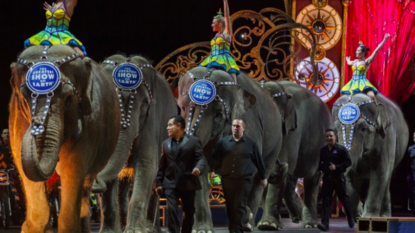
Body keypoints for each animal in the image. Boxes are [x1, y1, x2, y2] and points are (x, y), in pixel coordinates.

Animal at [8, 44, 120, 232]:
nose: (37, 122)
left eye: (68, 98)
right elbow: (27, 175)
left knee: (84, 189)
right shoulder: (16, 120)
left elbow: (73, 169)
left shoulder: (90, 123)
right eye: (24, 97)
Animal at [92, 54, 178, 233]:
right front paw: (109, 231)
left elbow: (147, 165)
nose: (95, 182)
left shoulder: (152, 121)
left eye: (144, 103)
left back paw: (149, 228)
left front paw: (135, 231)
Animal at [177, 66, 284, 232]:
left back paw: (248, 224)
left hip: (276, 142)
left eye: (218, 114)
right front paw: (203, 229)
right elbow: (201, 170)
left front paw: (244, 216)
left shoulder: (250, 126)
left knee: (260, 176)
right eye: (182, 107)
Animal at [258, 80, 334, 229]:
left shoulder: (292, 132)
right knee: (291, 178)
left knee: (312, 180)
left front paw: (268, 225)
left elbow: (279, 170)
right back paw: (296, 217)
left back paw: (309, 224)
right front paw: (272, 224)